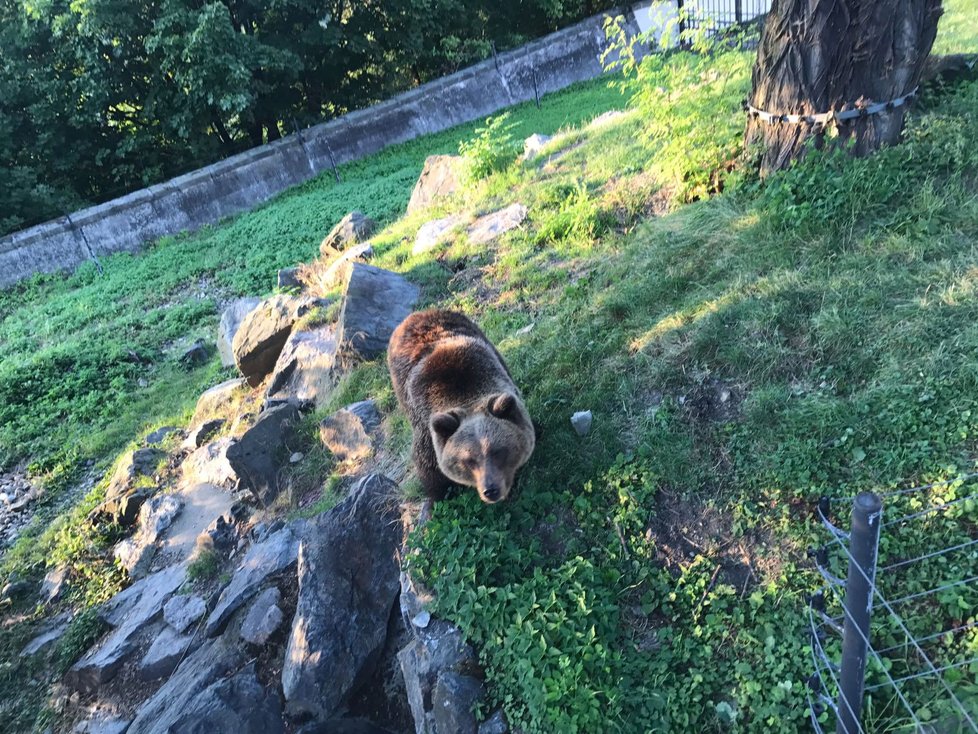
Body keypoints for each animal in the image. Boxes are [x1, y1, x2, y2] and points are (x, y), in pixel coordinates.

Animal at [386, 310, 532, 506]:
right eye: (468, 460)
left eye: (499, 451)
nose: (490, 490)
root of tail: (416, 314)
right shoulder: (425, 423)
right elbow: (428, 467)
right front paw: (437, 497)